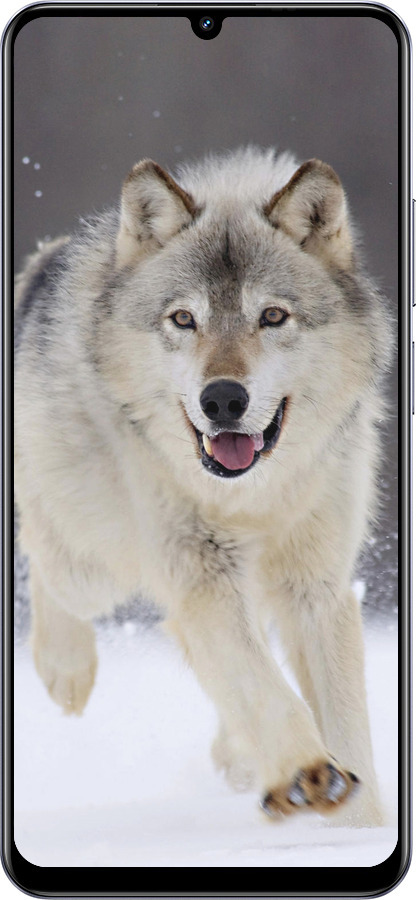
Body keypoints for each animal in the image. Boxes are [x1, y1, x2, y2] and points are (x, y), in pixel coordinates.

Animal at [14, 147, 391, 826]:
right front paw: (307, 773)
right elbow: (264, 687)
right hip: (96, 565)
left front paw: (359, 825)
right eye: (184, 319)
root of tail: (44, 260)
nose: (222, 399)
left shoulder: (316, 585)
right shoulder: (201, 574)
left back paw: (238, 757)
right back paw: (66, 671)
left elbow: (345, 721)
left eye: (272, 316)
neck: (252, 497)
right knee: (43, 555)